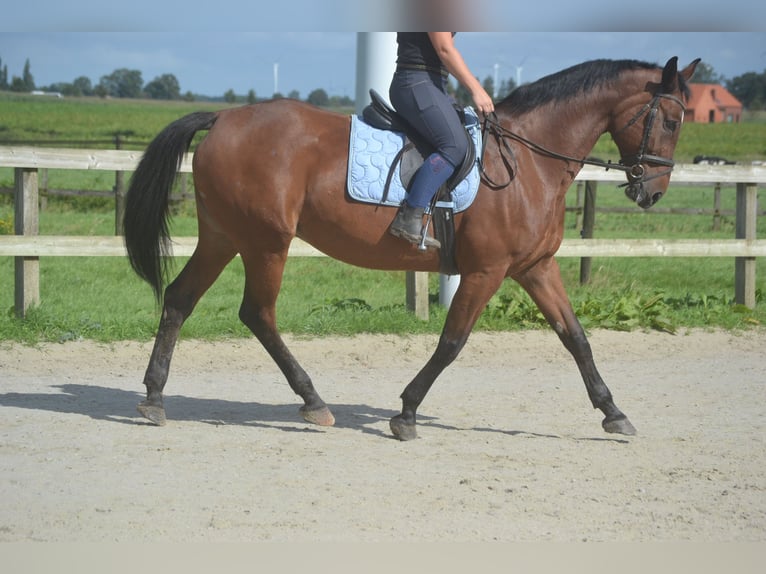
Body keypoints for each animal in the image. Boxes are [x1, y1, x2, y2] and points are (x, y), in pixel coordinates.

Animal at [123, 56, 700, 440]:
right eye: (672, 121)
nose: (652, 192)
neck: (529, 161)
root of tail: (223, 118)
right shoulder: (487, 271)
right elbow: (452, 342)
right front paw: (405, 413)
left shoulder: (535, 267)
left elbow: (576, 337)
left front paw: (613, 412)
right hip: (266, 243)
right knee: (257, 314)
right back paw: (313, 401)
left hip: (224, 236)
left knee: (179, 299)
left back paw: (153, 397)